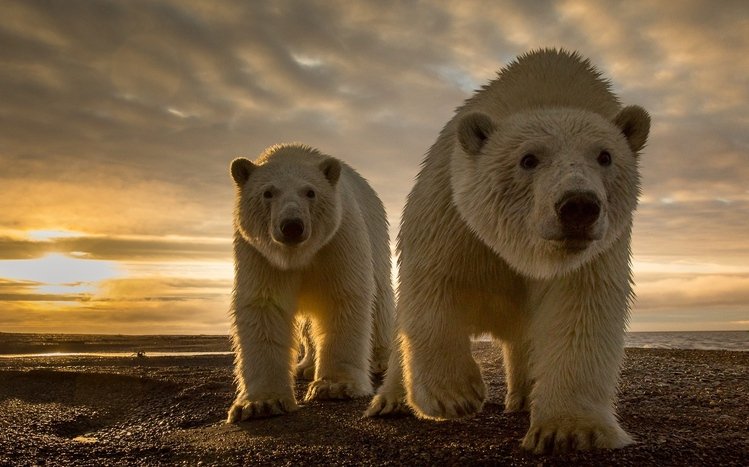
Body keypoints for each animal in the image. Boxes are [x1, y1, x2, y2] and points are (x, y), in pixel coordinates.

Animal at [227, 143, 395, 422]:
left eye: (310, 192)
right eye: (268, 192)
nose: (292, 226)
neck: (298, 255)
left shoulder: (338, 239)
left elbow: (342, 296)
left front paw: (335, 386)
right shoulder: (259, 254)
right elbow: (263, 307)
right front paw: (261, 403)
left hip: (377, 237)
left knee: (380, 299)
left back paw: (380, 359)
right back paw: (305, 366)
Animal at [365, 48, 650, 454]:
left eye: (605, 156)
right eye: (528, 158)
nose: (579, 206)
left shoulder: (595, 251)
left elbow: (581, 310)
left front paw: (569, 430)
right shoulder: (451, 212)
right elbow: (434, 283)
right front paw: (455, 395)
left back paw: (523, 396)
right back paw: (390, 400)